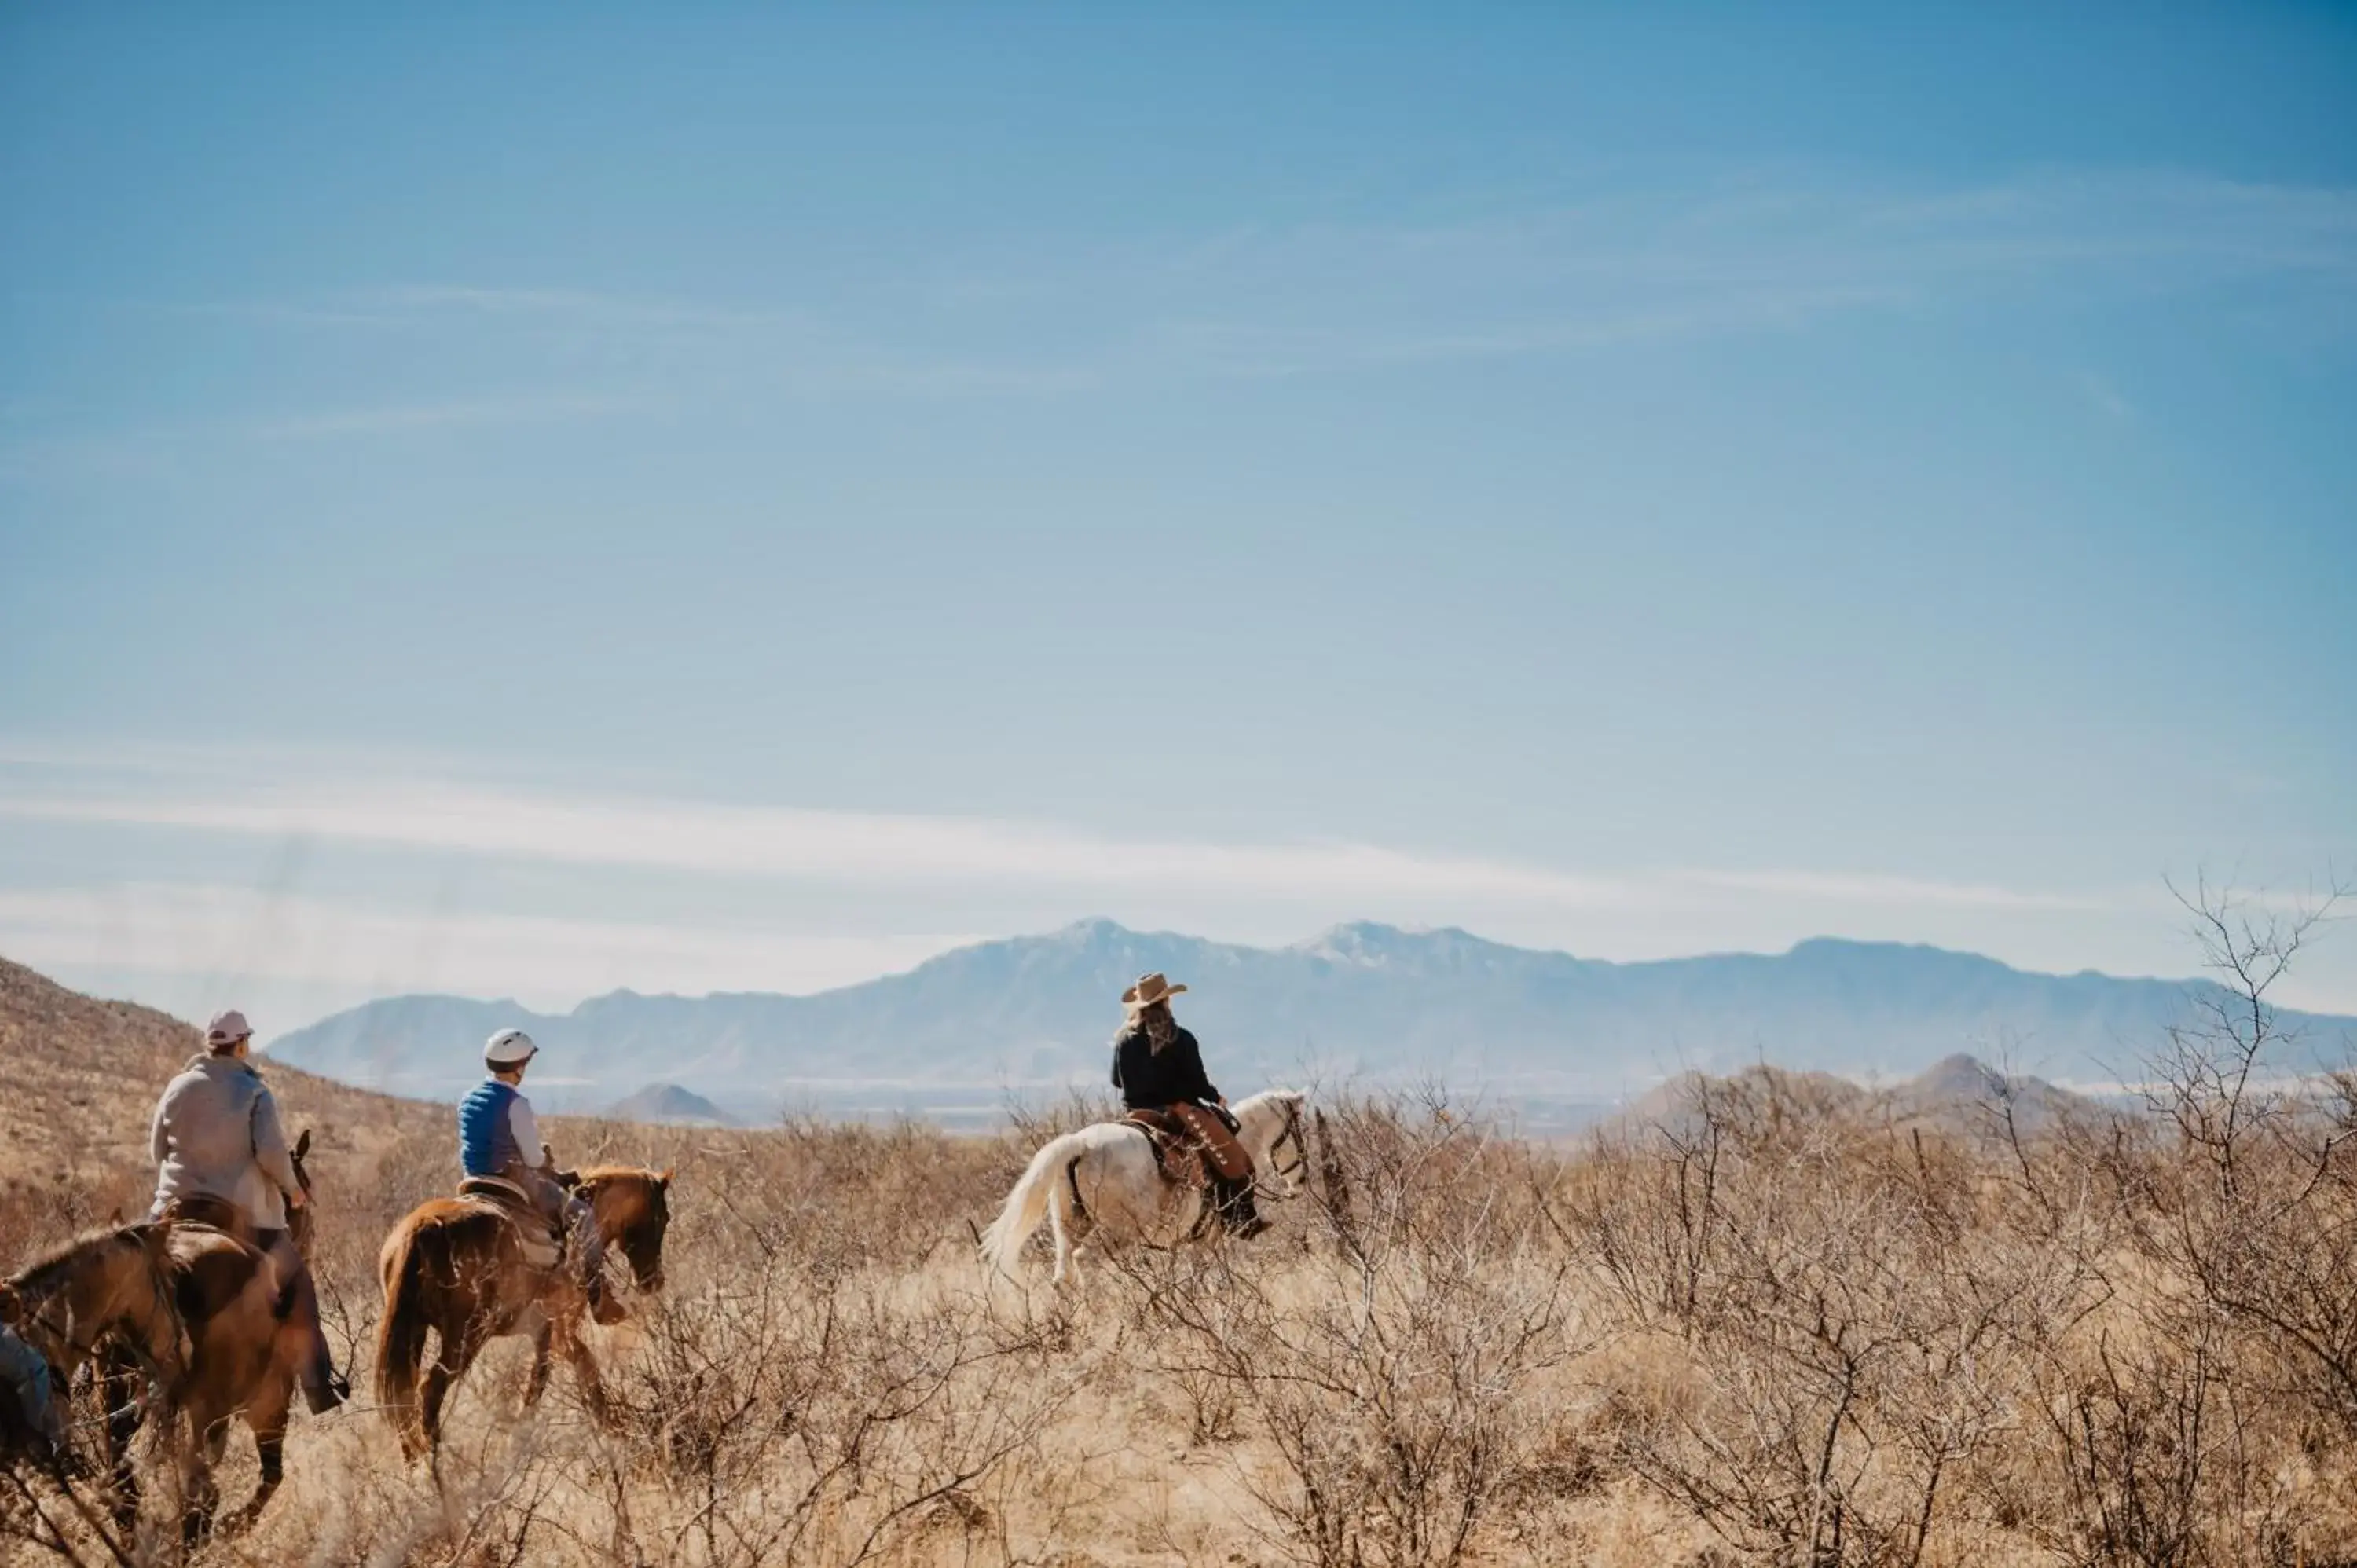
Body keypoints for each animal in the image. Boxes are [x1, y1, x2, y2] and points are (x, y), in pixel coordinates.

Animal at [97, 1127, 330, 1537]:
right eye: (303, 1187)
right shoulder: (270, 1401)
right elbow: (272, 1474)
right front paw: (234, 1525)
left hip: (116, 1392)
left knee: (121, 1473)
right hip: (212, 1406)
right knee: (199, 1487)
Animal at [375, 1160, 674, 1452]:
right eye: (663, 1217)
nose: (654, 1281)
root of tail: (424, 1228)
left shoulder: (557, 1334)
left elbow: (583, 1367)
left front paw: (613, 1427)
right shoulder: (554, 1326)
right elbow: (540, 1383)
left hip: (414, 1333)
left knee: (403, 1399)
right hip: (466, 1337)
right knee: (430, 1390)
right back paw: (436, 1461)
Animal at [976, 1089, 1310, 1282]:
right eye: (1301, 1132)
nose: (1302, 1179)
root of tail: (1080, 1145)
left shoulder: (1187, 1239)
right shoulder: (1209, 1239)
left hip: (1067, 1227)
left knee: (1063, 1277)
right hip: (1119, 1231)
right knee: (1086, 1261)